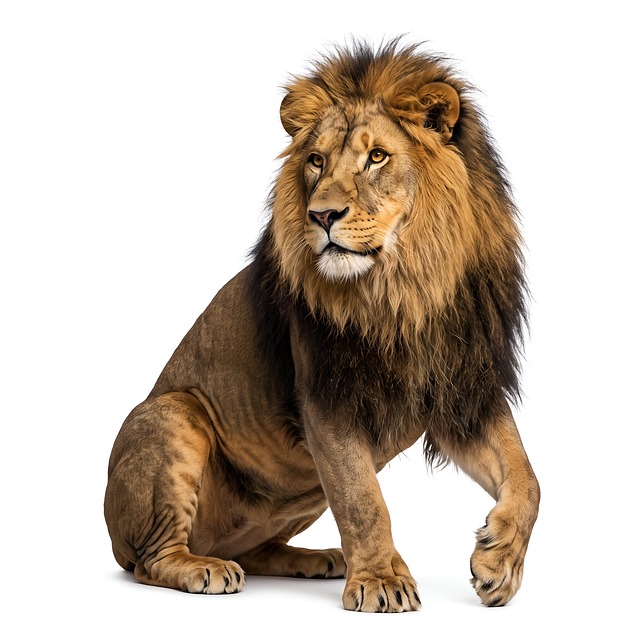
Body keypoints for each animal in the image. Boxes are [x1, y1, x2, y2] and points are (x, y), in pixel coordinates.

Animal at [104, 40, 540, 612]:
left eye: (376, 157)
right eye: (316, 161)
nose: (322, 215)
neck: (406, 287)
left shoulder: (462, 390)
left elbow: (527, 478)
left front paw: (499, 563)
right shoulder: (327, 398)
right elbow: (363, 499)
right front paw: (381, 580)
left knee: (257, 549)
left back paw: (319, 559)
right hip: (172, 413)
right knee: (150, 560)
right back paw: (204, 568)